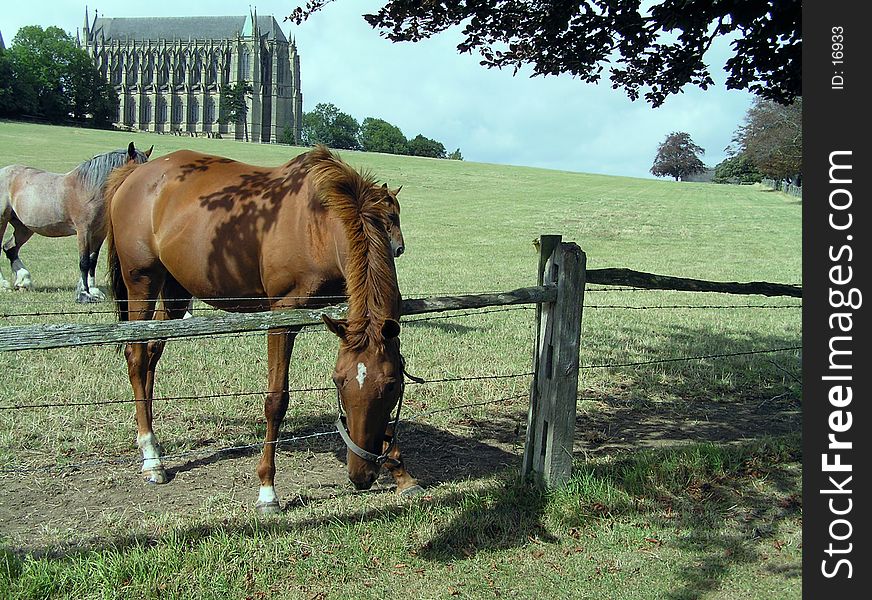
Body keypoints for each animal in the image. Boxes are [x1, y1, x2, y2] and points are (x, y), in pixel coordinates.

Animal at [0, 143, 152, 302]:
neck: (90, 189)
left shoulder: (99, 233)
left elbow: (92, 261)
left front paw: (93, 290)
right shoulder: (84, 231)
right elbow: (84, 262)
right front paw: (84, 294)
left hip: (24, 228)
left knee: (10, 248)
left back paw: (24, 281)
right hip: (2, 220)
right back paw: (4, 284)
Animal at [104, 145, 418, 510]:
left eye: (392, 386)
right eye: (339, 384)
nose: (361, 475)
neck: (319, 224)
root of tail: (135, 174)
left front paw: (402, 473)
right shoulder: (283, 318)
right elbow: (276, 400)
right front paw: (267, 489)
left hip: (175, 291)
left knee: (152, 353)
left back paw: (152, 442)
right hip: (141, 282)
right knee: (137, 356)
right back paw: (151, 457)